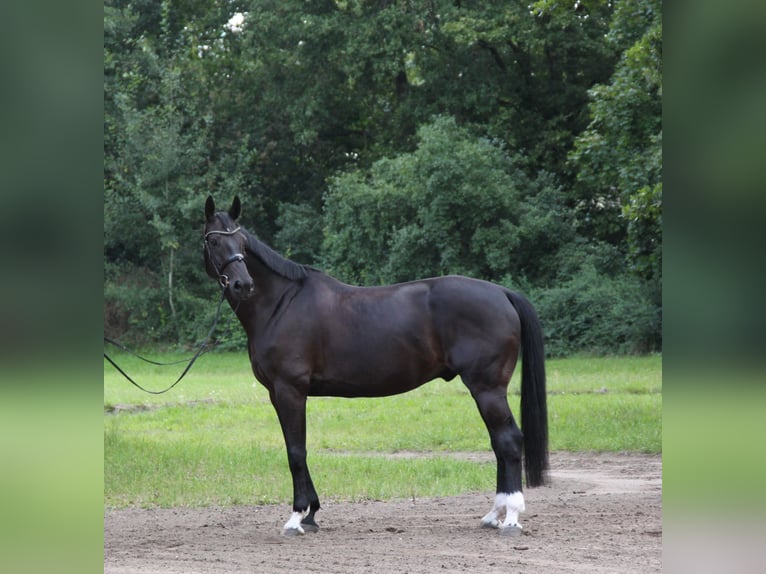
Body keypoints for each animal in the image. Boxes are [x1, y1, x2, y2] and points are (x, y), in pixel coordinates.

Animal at [204, 196, 548, 536]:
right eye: (215, 241)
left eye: (241, 241)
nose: (242, 284)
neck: (282, 303)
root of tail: (502, 292)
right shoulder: (278, 394)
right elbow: (298, 447)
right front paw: (312, 514)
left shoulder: (290, 390)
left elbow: (296, 451)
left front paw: (296, 517)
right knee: (499, 442)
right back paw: (494, 515)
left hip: (487, 388)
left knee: (508, 440)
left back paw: (511, 517)